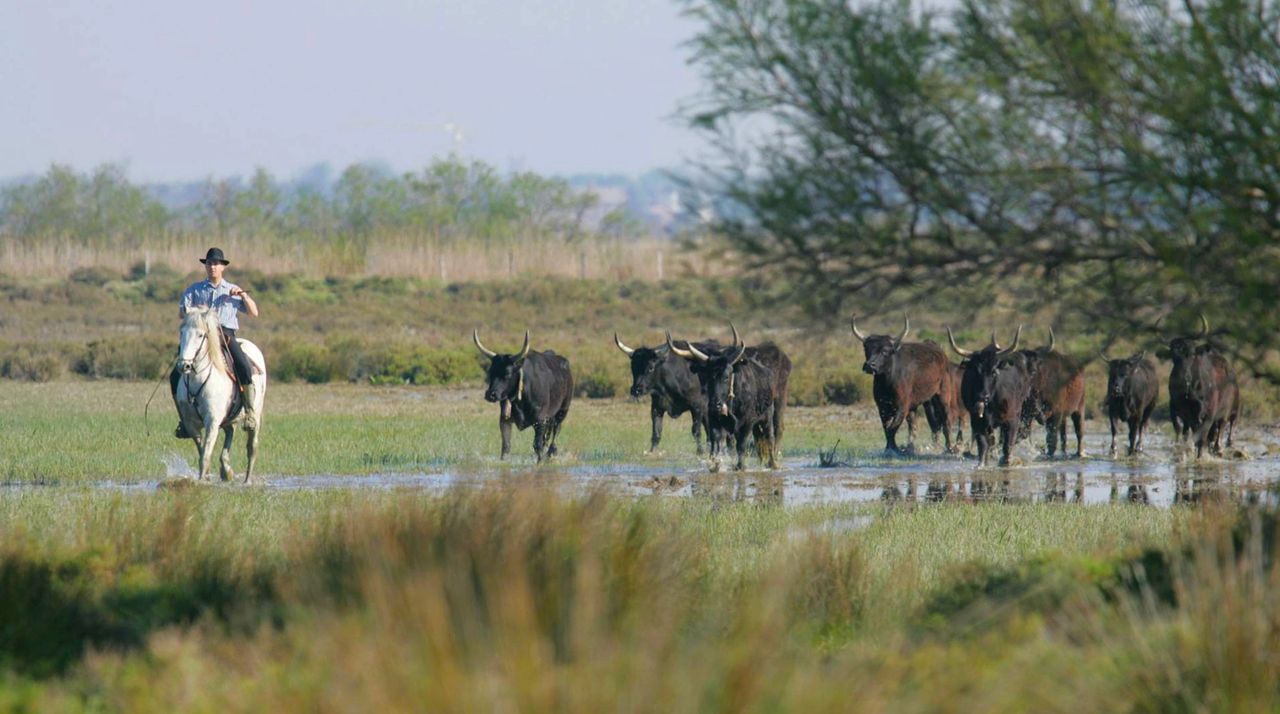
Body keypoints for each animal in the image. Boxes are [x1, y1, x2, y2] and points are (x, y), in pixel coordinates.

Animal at [175, 309, 264, 486]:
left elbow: (205, 454)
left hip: (256, 416)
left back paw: (247, 481)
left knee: (252, 447)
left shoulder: (212, 421)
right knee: (230, 433)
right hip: (228, 419)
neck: (198, 379)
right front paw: (207, 477)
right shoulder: (191, 424)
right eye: (181, 332)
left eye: (200, 335)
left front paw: (202, 481)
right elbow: (202, 451)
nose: (184, 365)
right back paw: (226, 470)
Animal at [473, 332, 573, 465]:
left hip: (562, 411)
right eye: (490, 372)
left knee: (555, 434)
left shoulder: (540, 420)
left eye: (507, 373)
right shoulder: (504, 420)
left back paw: (551, 454)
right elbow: (506, 445)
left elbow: (537, 445)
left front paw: (539, 463)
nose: (490, 394)